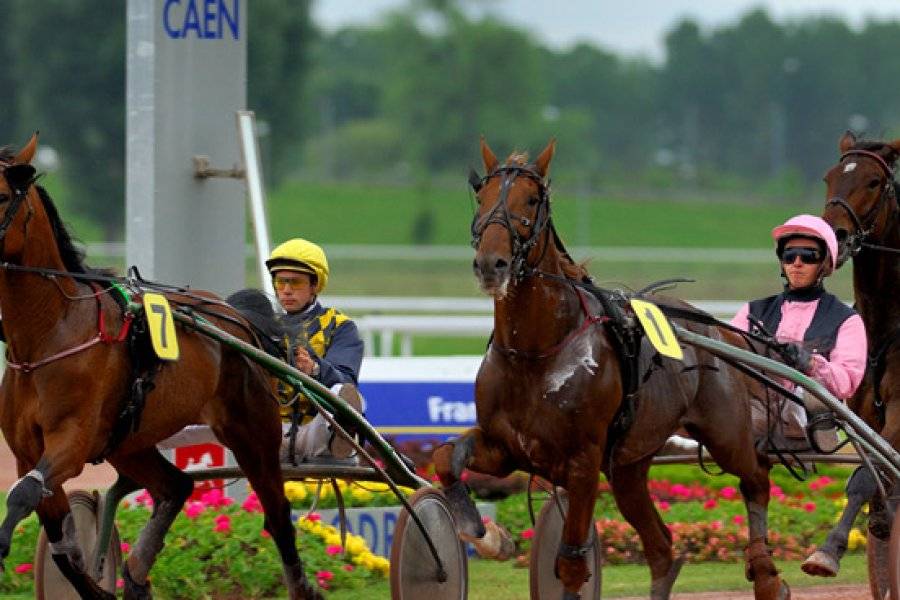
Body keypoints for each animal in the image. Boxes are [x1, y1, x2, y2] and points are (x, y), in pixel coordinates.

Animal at [0, 136, 322, 600]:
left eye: (2, 196)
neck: (49, 335)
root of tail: (237, 319)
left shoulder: (72, 441)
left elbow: (23, 494)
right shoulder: (29, 450)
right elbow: (63, 548)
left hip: (253, 431)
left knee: (278, 514)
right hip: (128, 442)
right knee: (176, 485)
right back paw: (136, 575)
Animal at [432, 137, 792, 600]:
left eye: (530, 199)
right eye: (482, 197)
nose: (491, 263)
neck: (535, 353)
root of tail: (711, 327)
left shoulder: (583, 462)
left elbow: (570, 563)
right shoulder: (506, 447)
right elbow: (446, 456)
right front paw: (488, 536)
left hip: (725, 433)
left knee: (756, 477)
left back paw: (768, 577)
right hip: (628, 466)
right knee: (661, 546)